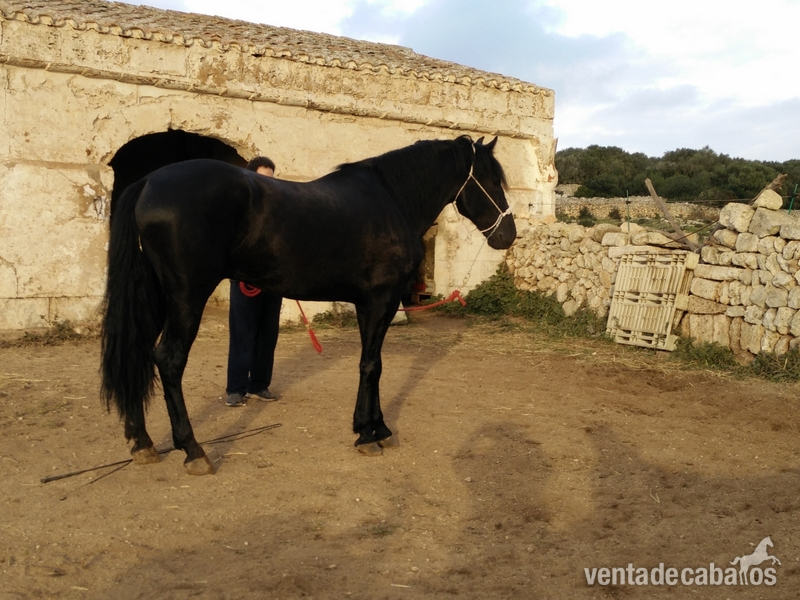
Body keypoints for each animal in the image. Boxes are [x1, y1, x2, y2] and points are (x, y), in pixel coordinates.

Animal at [100, 135, 516, 475]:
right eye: (494, 181)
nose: (508, 236)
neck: (392, 199)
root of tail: (149, 182)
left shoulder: (368, 304)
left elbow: (371, 364)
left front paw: (375, 427)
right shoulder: (380, 301)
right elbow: (372, 365)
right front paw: (369, 434)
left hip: (155, 295)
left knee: (137, 352)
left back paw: (142, 443)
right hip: (186, 296)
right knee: (169, 360)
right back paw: (193, 451)